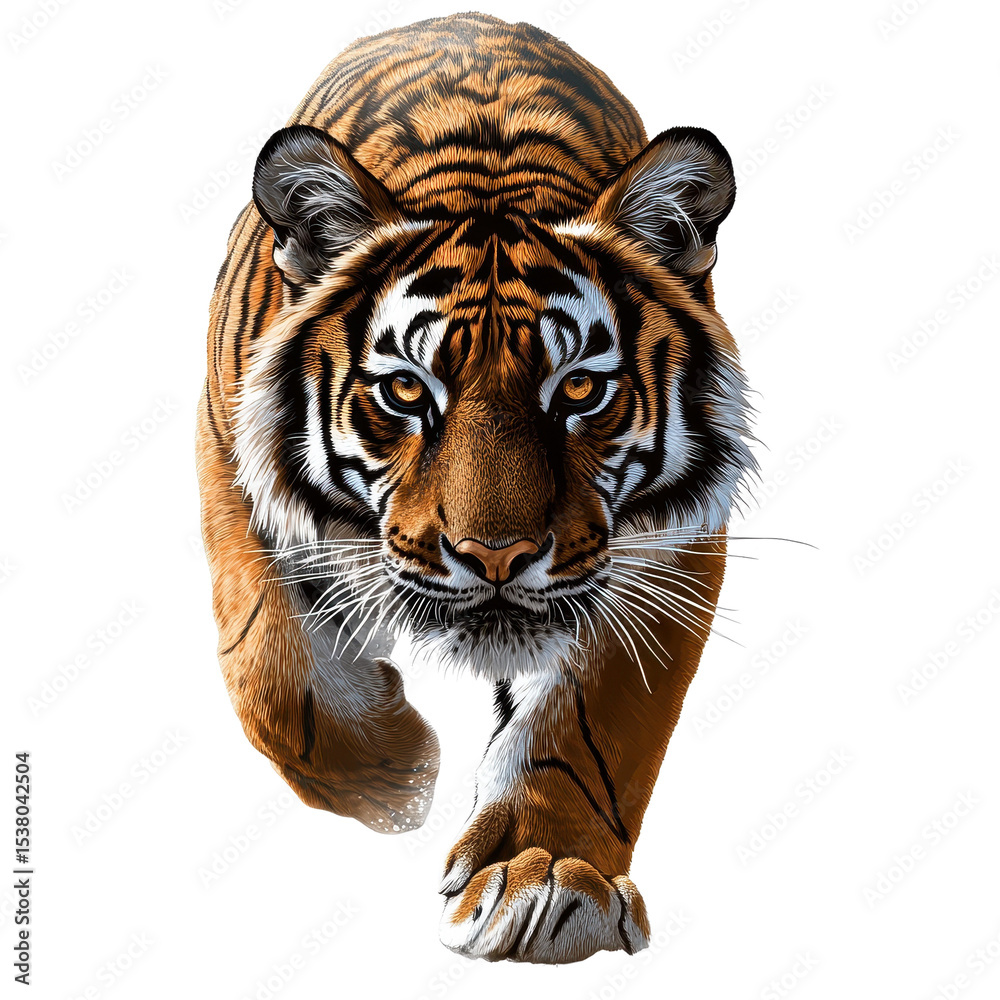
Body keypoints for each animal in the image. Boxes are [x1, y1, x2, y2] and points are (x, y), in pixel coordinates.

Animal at [197, 12, 755, 964]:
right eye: (406, 390)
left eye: (579, 388)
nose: (496, 556)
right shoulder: (231, 462)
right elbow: (272, 671)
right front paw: (396, 775)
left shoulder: (667, 546)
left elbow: (596, 724)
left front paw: (551, 876)